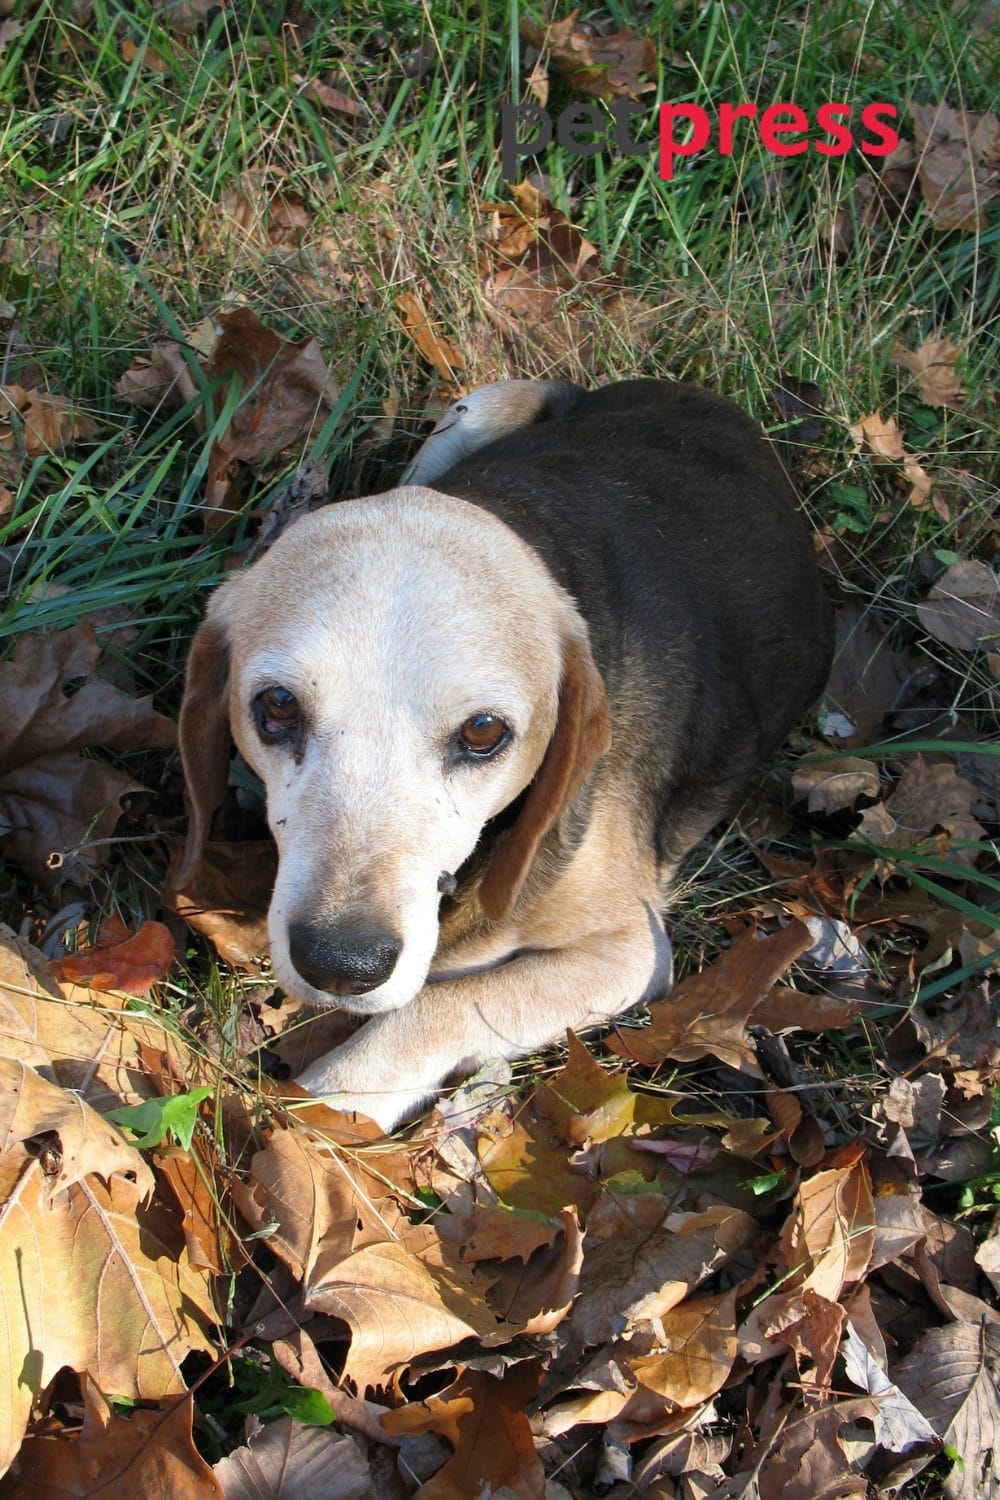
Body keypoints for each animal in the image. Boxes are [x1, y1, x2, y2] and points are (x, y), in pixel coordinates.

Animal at [176, 381, 833, 1128]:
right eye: (280, 705)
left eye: (484, 731)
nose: (342, 964)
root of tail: (703, 398)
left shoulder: (630, 951)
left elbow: (435, 1004)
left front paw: (327, 1106)